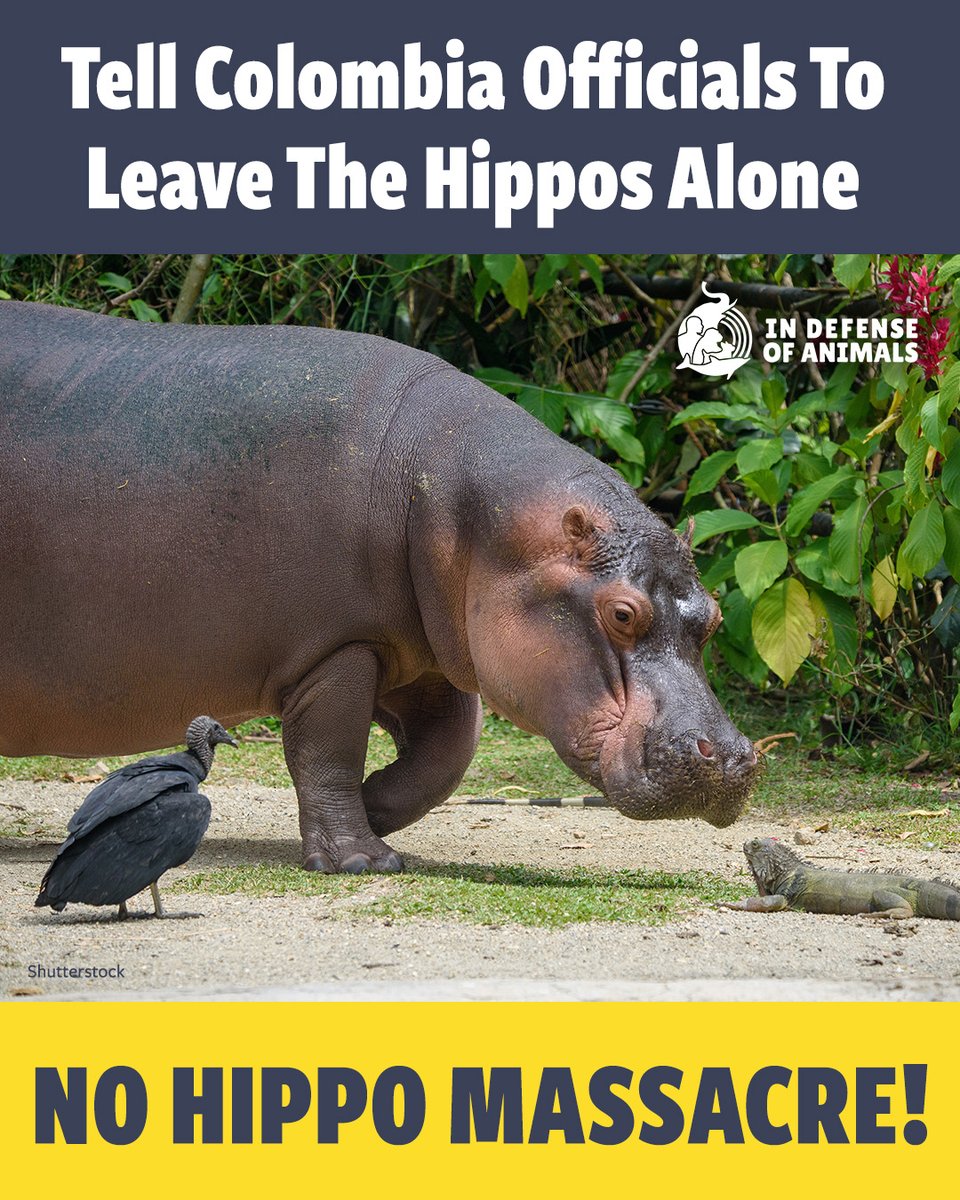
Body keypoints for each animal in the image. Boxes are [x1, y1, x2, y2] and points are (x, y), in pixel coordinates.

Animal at [0, 301, 759, 873]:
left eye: (714, 615)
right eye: (622, 614)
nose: (730, 758)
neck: (461, 507)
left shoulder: (422, 654)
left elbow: (444, 758)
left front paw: (374, 809)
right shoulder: (335, 646)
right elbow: (331, 751)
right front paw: (362, 860)